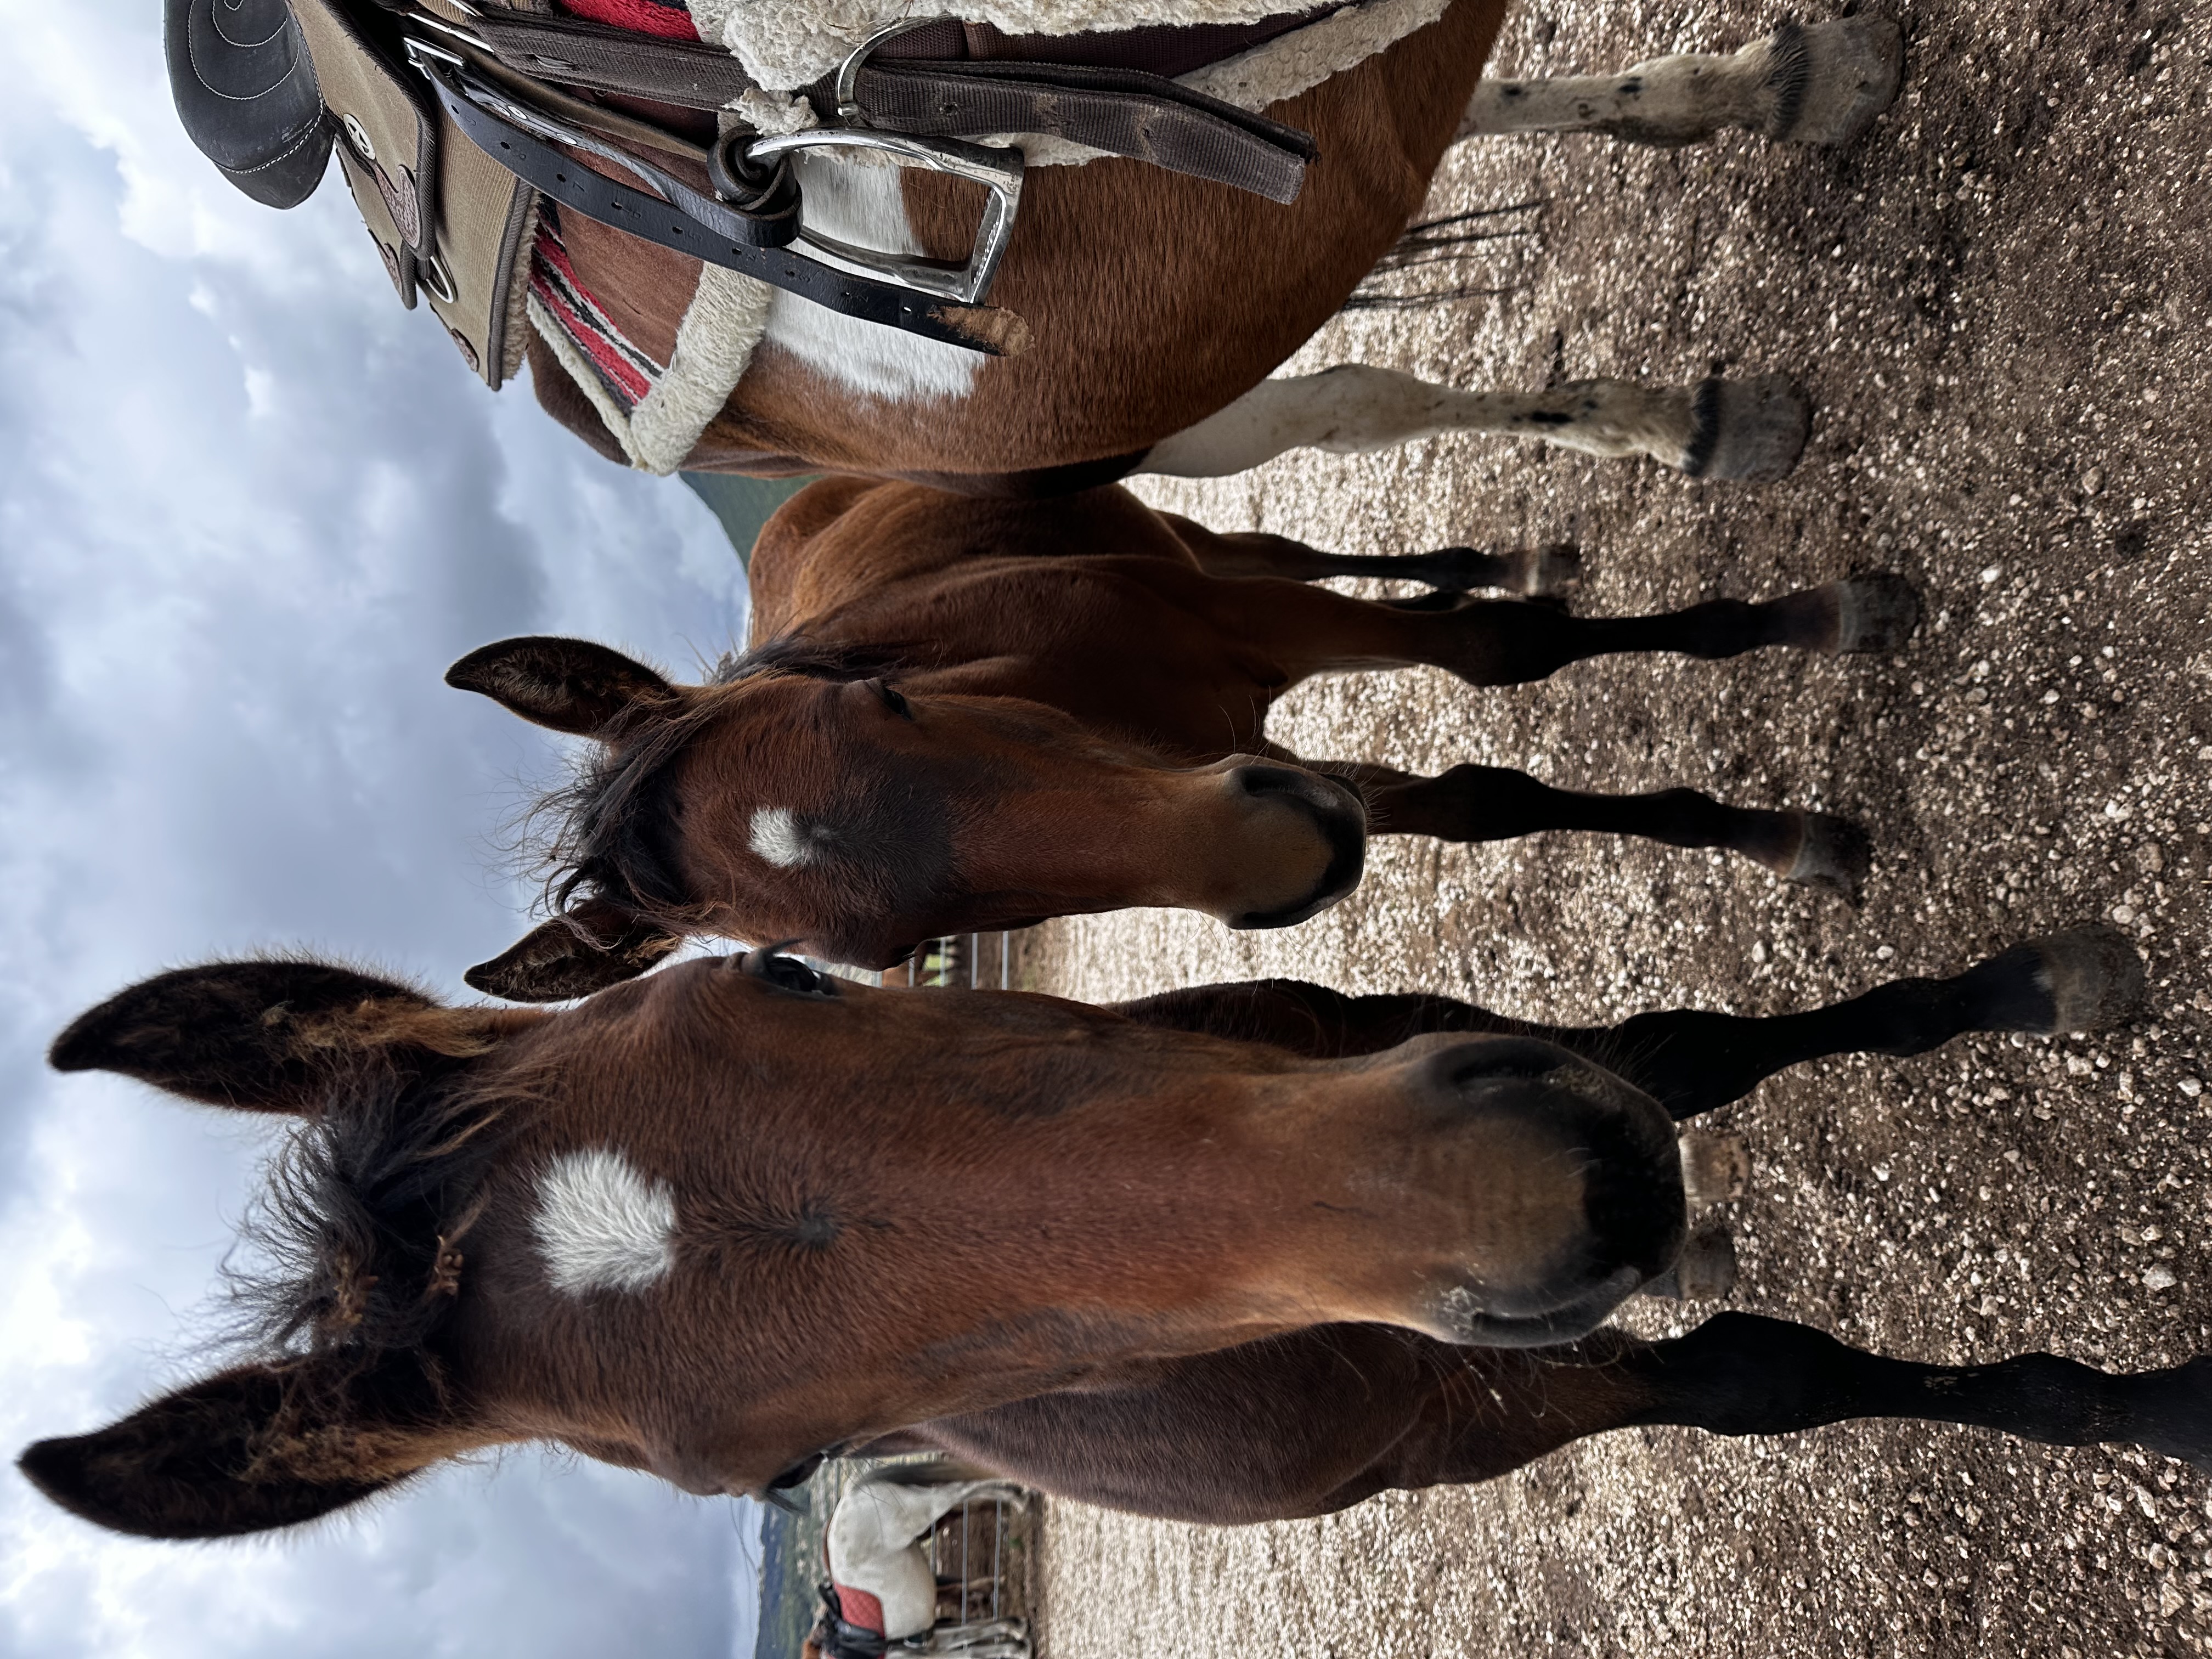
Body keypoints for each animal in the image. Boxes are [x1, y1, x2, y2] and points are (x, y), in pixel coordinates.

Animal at [23, 922, 2207, 1544]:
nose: (1550, 1198)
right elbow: (1773, 1382)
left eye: (777, 968)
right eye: (792, 1469)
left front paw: (2037, 985)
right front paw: (2157, 1409)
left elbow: (1697, 1043)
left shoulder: (1379, 1038)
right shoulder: (1482, 1405)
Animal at [447, 476, 1921, 992]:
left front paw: (1818, 624)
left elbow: (1507, 658)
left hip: (1207, 549)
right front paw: (1770, 834)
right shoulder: (1265, 759)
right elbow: (1481, 799)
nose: (1273, 859)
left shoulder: (1247, 632)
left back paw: (1494, 561)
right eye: (892, 952)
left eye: (878, 700)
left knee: (1311, 549)